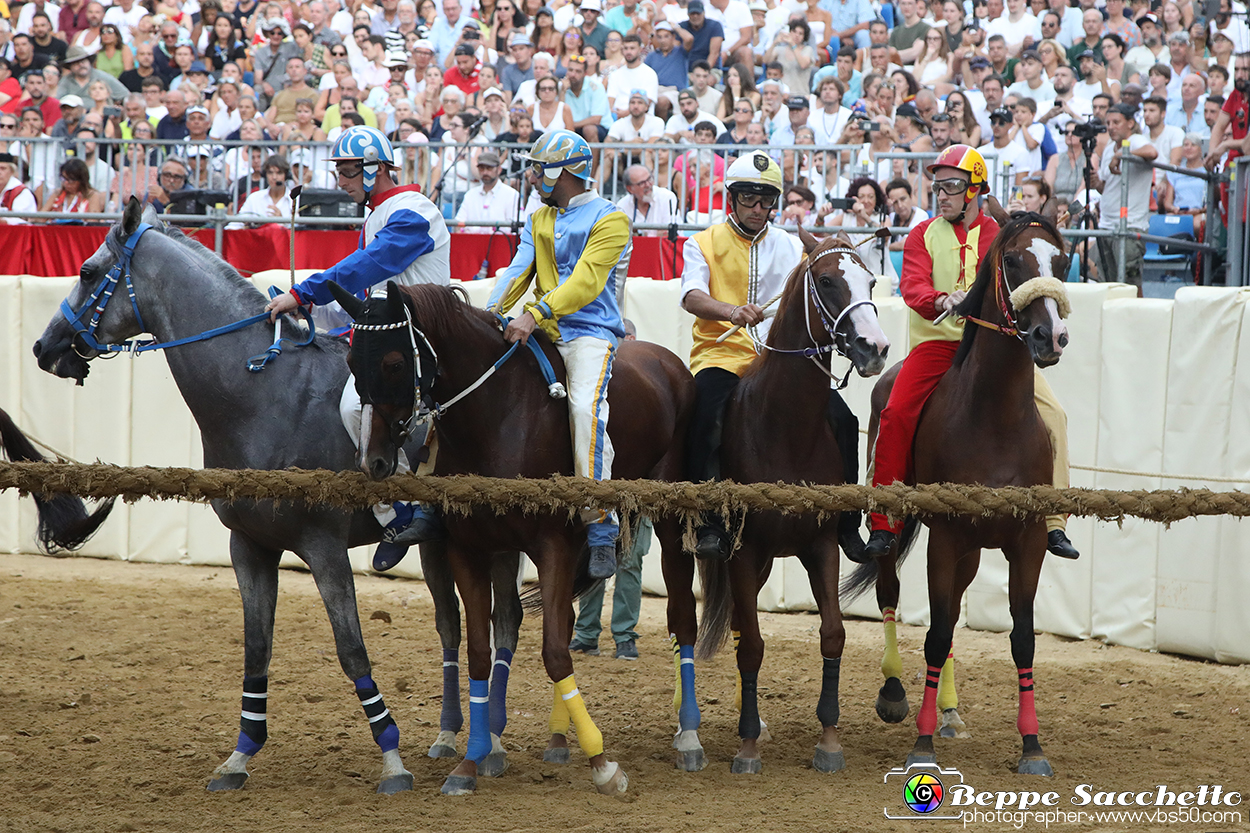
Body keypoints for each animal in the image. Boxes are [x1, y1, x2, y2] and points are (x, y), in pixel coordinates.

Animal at [31, 200, 522, 790]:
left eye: (86, 271)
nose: (44, 346)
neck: (265, 395)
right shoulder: (250, 546)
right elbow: (256, 650)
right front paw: (241, 754)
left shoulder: (324, 548)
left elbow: (352, 651)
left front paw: (391, 757)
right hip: (435, 546)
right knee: (450, 625)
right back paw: (449, 736)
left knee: (503, 624)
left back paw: (491, 744)